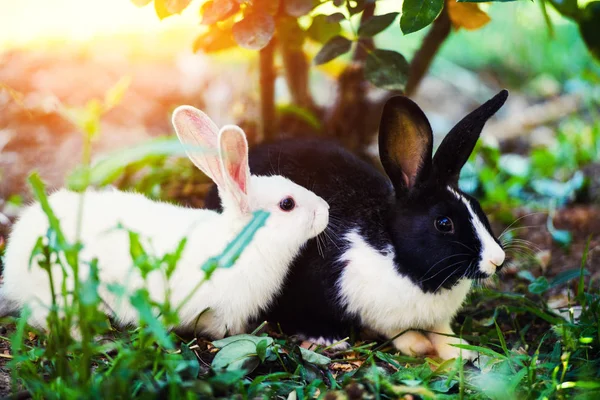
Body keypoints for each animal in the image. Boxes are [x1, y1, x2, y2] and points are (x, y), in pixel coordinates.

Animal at [204, 91, 508, 360]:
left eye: (477, 206)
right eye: (444, 223)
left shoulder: (437, 318)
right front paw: (417, 345)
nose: (497, 260)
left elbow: (441, 331)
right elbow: (393, 329)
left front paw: (459, 351)